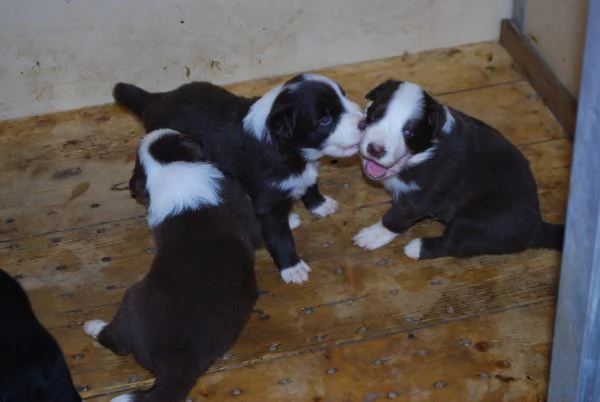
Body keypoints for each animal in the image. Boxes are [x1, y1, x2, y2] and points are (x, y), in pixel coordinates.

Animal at [113, 74, 366, 284]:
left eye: (344, 97)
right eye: (325, 120)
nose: (364, 120)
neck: (284, 147)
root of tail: (155, 100)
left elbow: (311, 183)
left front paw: (319, 204)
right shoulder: (267, 201)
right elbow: (280, 237)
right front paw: (292, 268)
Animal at [352, 80, 564, 260]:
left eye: (408, 132)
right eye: (375, 116)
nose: (375, 149)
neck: (423, 153)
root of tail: (536, 227)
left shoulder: (420, 198)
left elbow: (394, 217)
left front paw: (371, 236)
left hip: (474, 221)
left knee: (454, 244)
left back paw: (416, 248)